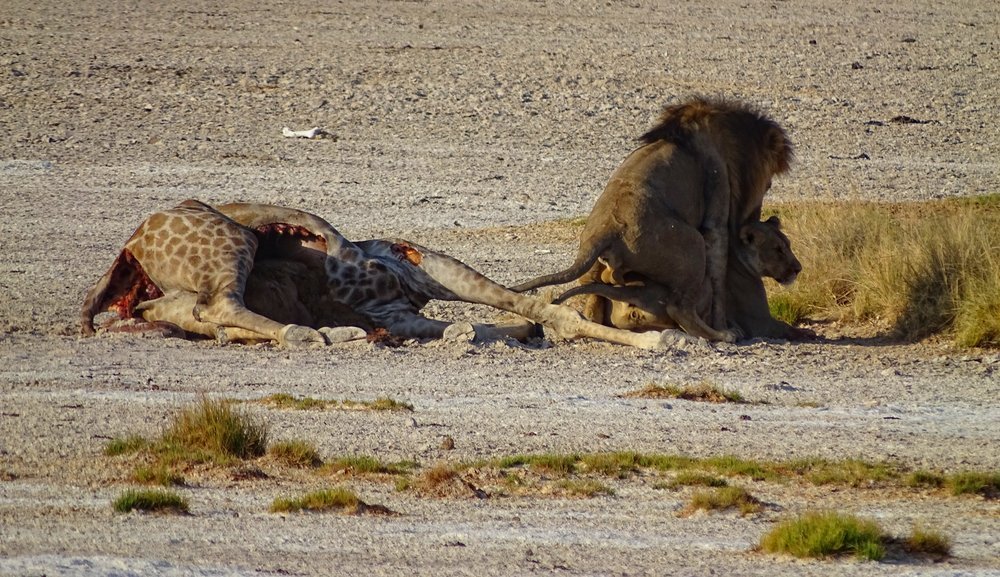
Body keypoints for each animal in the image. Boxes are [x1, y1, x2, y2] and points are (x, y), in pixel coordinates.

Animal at [512, 95, 792, 338]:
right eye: (768, 184)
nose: (759, 217)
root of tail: (605, 231)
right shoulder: (716, 214)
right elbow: (718, 277)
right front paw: (724, 326)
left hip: (591, 253)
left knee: (597, 291)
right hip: (692, 243)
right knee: (679, 308)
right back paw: (721, 336)